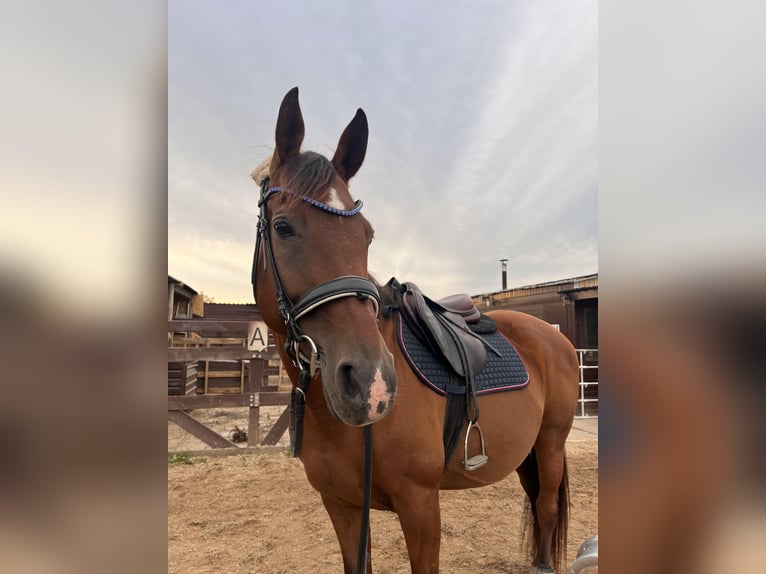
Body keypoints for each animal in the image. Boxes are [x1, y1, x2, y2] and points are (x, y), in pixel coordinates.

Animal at [252, 86, 584, 574]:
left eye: (367, 235)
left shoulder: (421, 505)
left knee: (544, 508)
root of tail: (554, 335)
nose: (371, 383)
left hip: (552, 443)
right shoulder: (342, 506)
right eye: (282, 226)